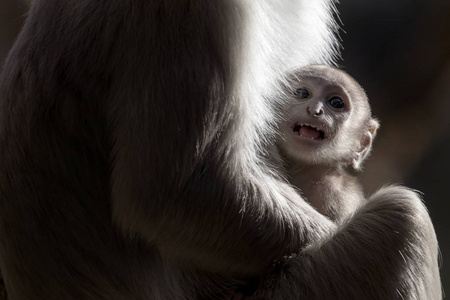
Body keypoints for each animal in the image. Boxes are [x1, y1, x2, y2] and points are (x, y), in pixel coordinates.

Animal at [0, 0, 442, 300]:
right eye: (304, 95)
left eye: (335, 104)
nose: (316, 110)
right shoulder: (188, 10)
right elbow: (173, 195)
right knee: (402, 218)